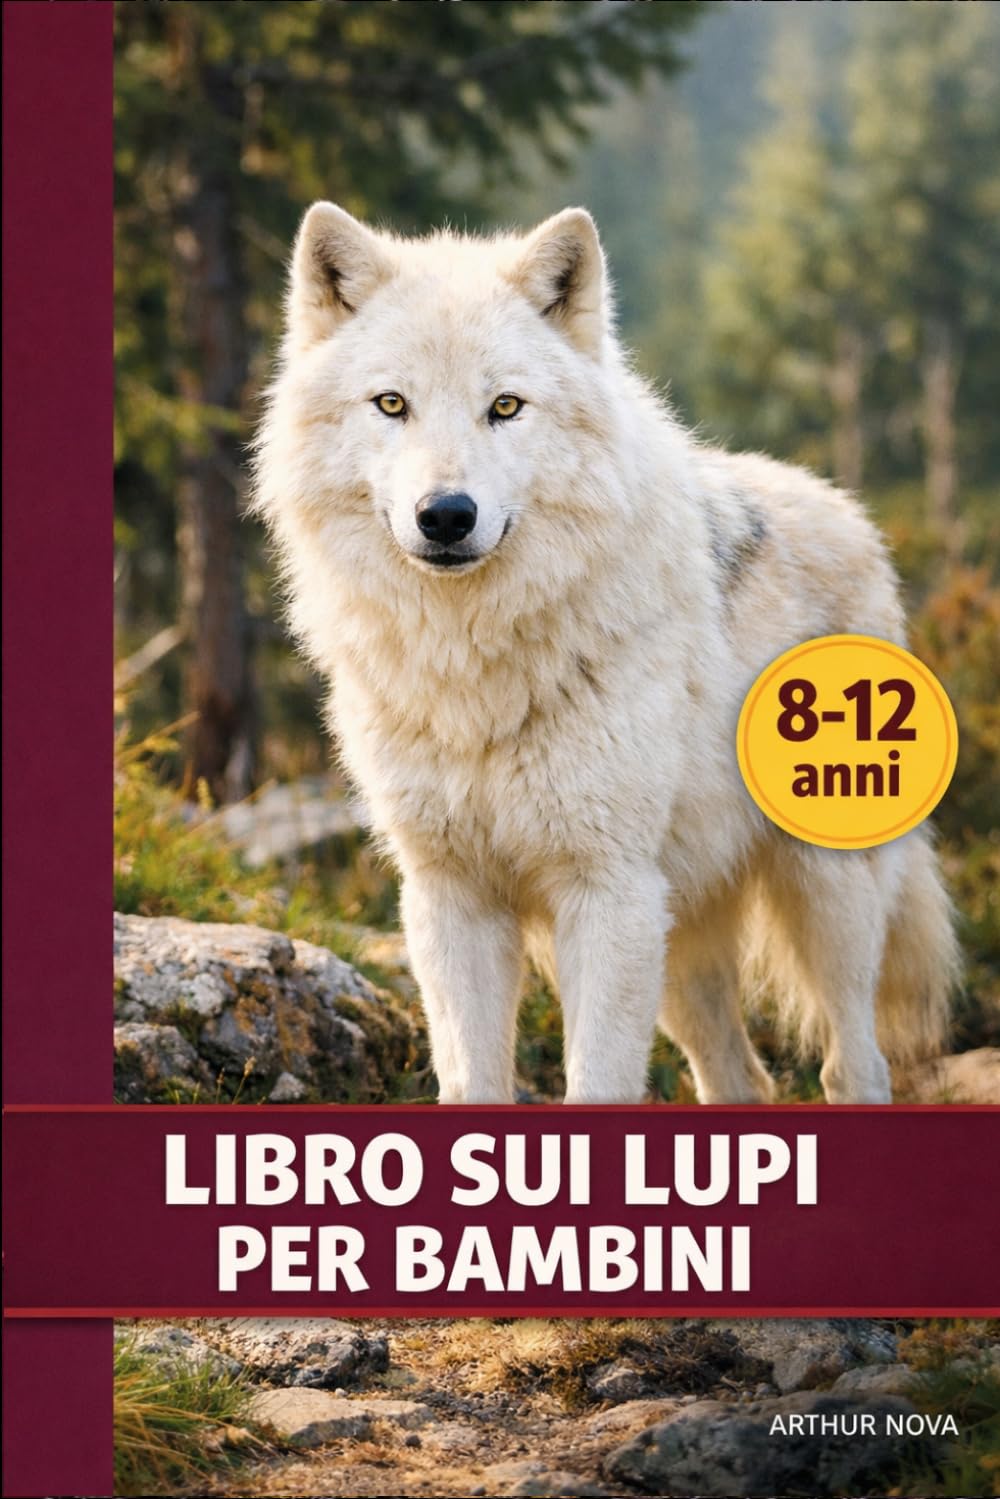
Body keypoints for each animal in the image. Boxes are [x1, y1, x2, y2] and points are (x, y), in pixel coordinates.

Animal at [252, 203, 956, 1105]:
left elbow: (599, 1084)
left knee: (853, 1062)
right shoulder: (450, 895)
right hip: (677, 945)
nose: (446, 514)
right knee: (740, 1077)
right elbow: (473, 1082)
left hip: (818, 900)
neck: (473, 667)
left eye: (505, 406)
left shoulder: (606, 890)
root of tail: (850, 512)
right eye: (392, 403)